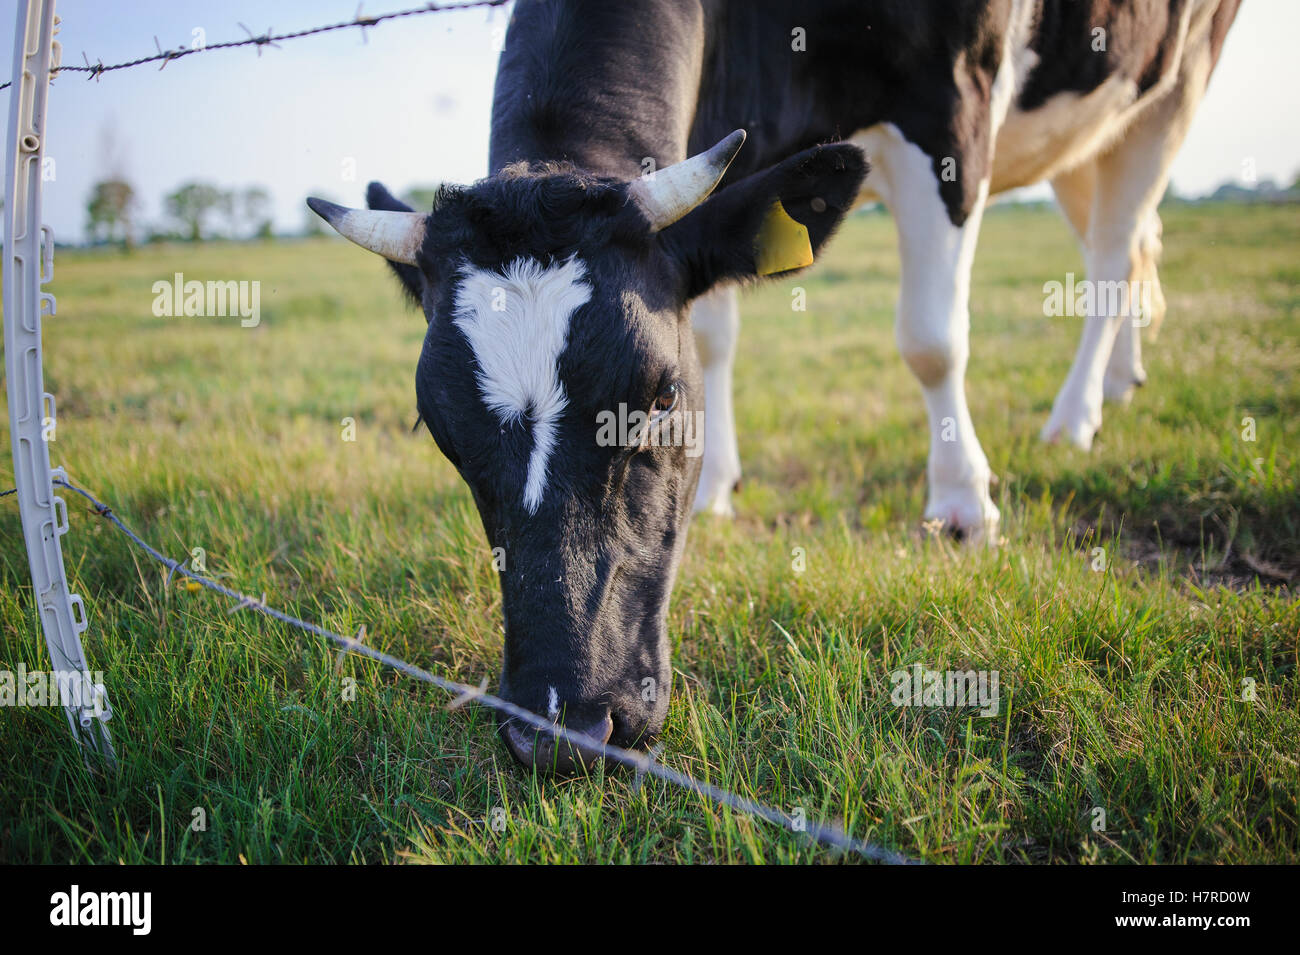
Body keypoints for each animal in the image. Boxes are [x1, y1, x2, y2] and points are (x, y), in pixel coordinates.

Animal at [308, 0, 1240, 771]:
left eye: (658, 399)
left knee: (1115, 254)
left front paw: (961, 503)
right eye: (441, 433)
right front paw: (720, 482)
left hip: (1171, 90)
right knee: (1129, 244)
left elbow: (931, 339)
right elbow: (715, 329)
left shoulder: (951, 95)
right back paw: (1119, 384)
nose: (563, 729)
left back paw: (1075, 418)